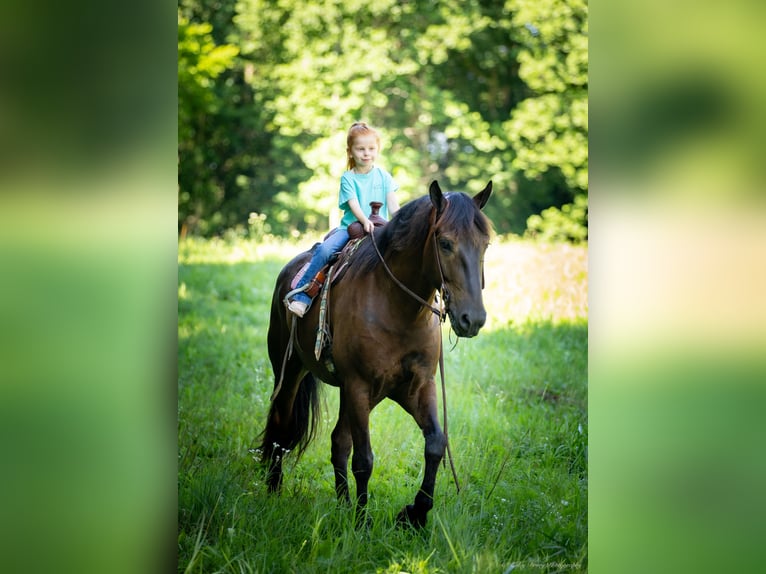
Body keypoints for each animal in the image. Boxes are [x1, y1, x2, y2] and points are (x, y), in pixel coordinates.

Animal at [260, 182, 496, 528]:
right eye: (445, 243)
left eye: (485, 244)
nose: (473, 319)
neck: (396, 305)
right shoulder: (359, 386)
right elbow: (364, 459)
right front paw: (362, 521)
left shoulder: (415, 386)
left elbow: (435, 444)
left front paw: (415, 514)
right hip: (290, 371)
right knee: (281, 425)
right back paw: (274, 489)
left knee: (338, 442)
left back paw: (343, 502)